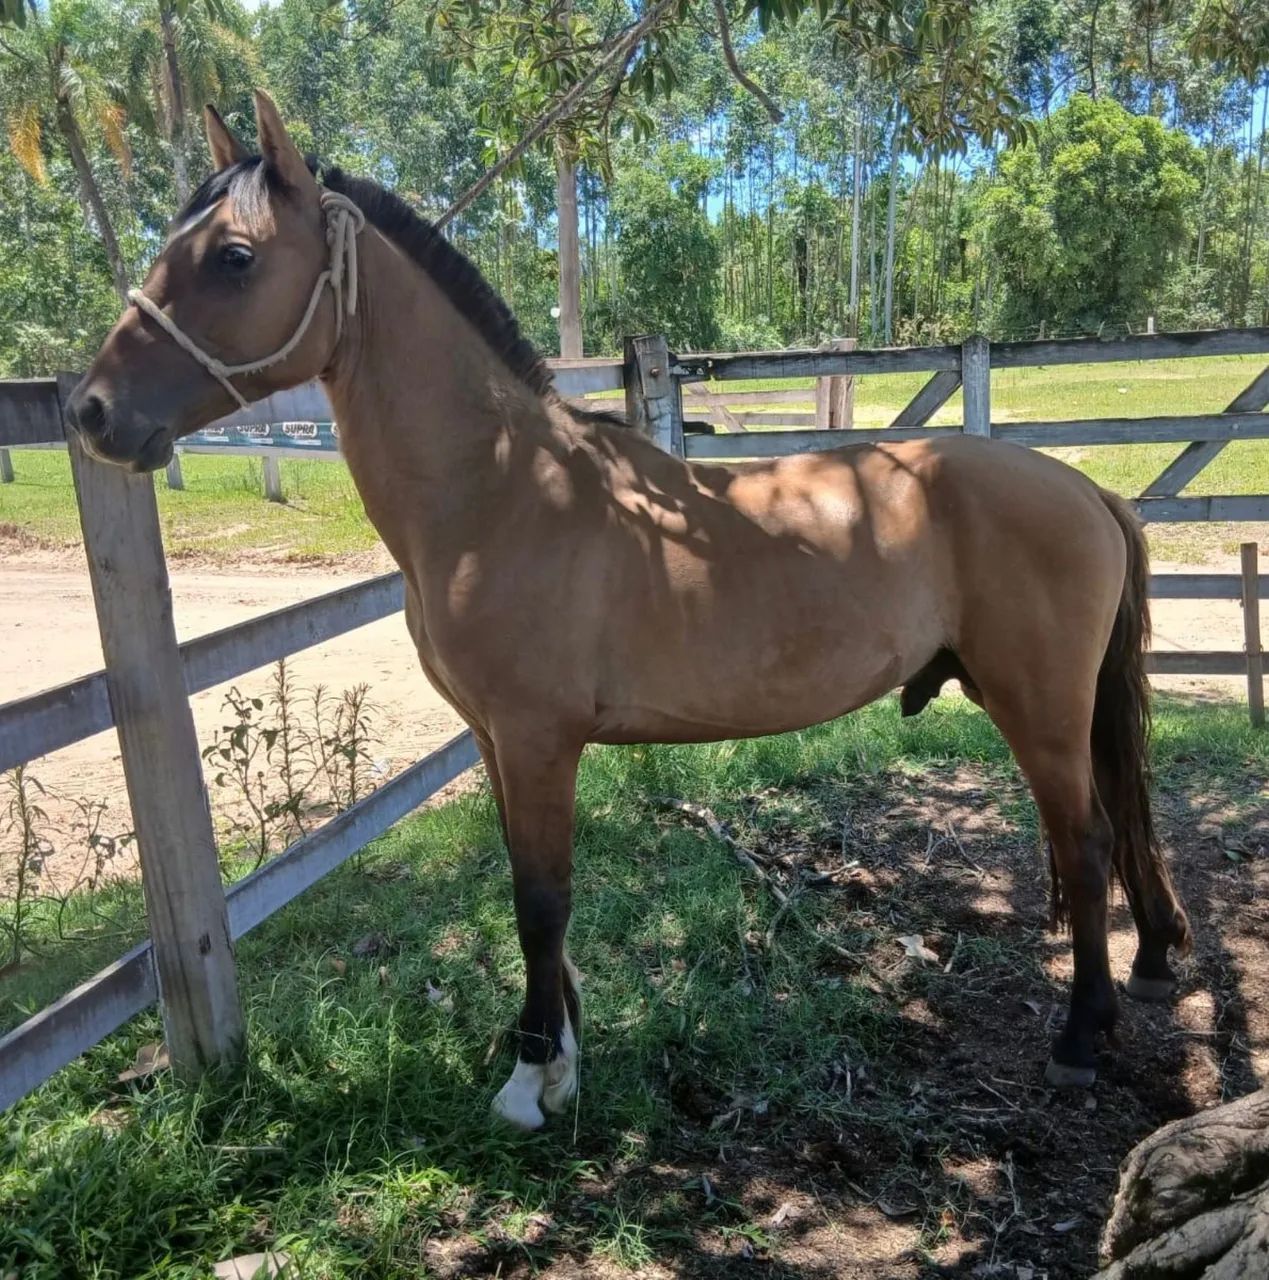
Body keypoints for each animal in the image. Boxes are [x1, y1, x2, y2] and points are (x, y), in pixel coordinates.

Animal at [67, 91, 1191, 1129]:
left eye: (234, 256)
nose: (90, 412)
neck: (502, 489)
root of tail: (1084, 489)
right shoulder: (497, 741)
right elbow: (530, 893)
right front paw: (559, 1054)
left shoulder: (537, 738)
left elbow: (540, 901)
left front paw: (531, 1081)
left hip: (1038, 707)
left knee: (1086, 842)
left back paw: (1081, 1034)